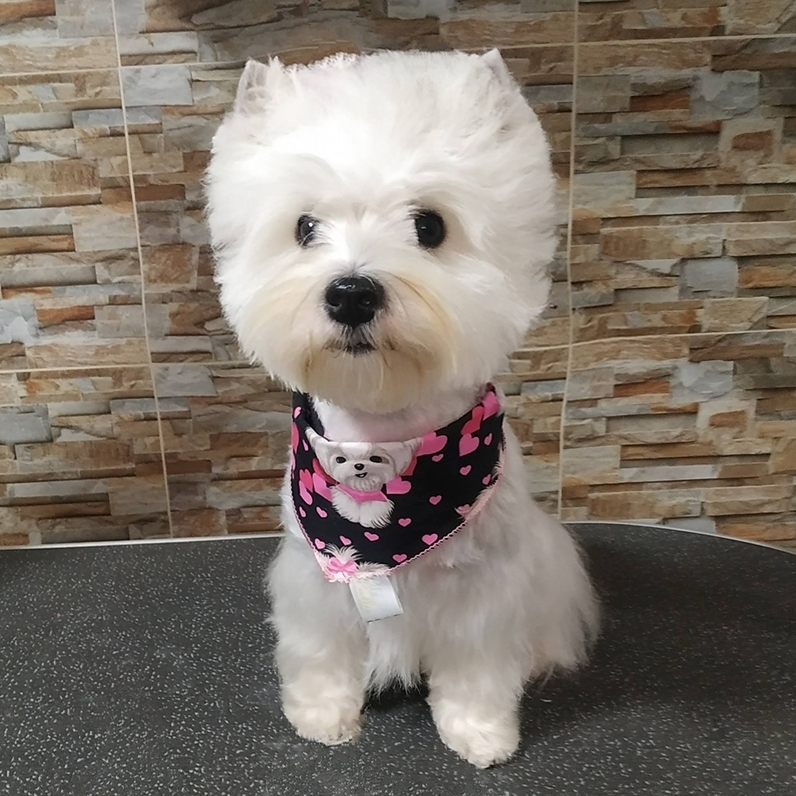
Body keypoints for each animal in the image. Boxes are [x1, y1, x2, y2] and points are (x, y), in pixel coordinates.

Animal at [205, 51, 596, 772]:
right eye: (304, 227)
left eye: (430, 226)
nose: (351, 293)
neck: (386, 439)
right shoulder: (319, 572)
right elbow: (321, 649)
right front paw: (322, 714)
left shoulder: (483, 589)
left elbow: (477, 668)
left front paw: (479, 732)